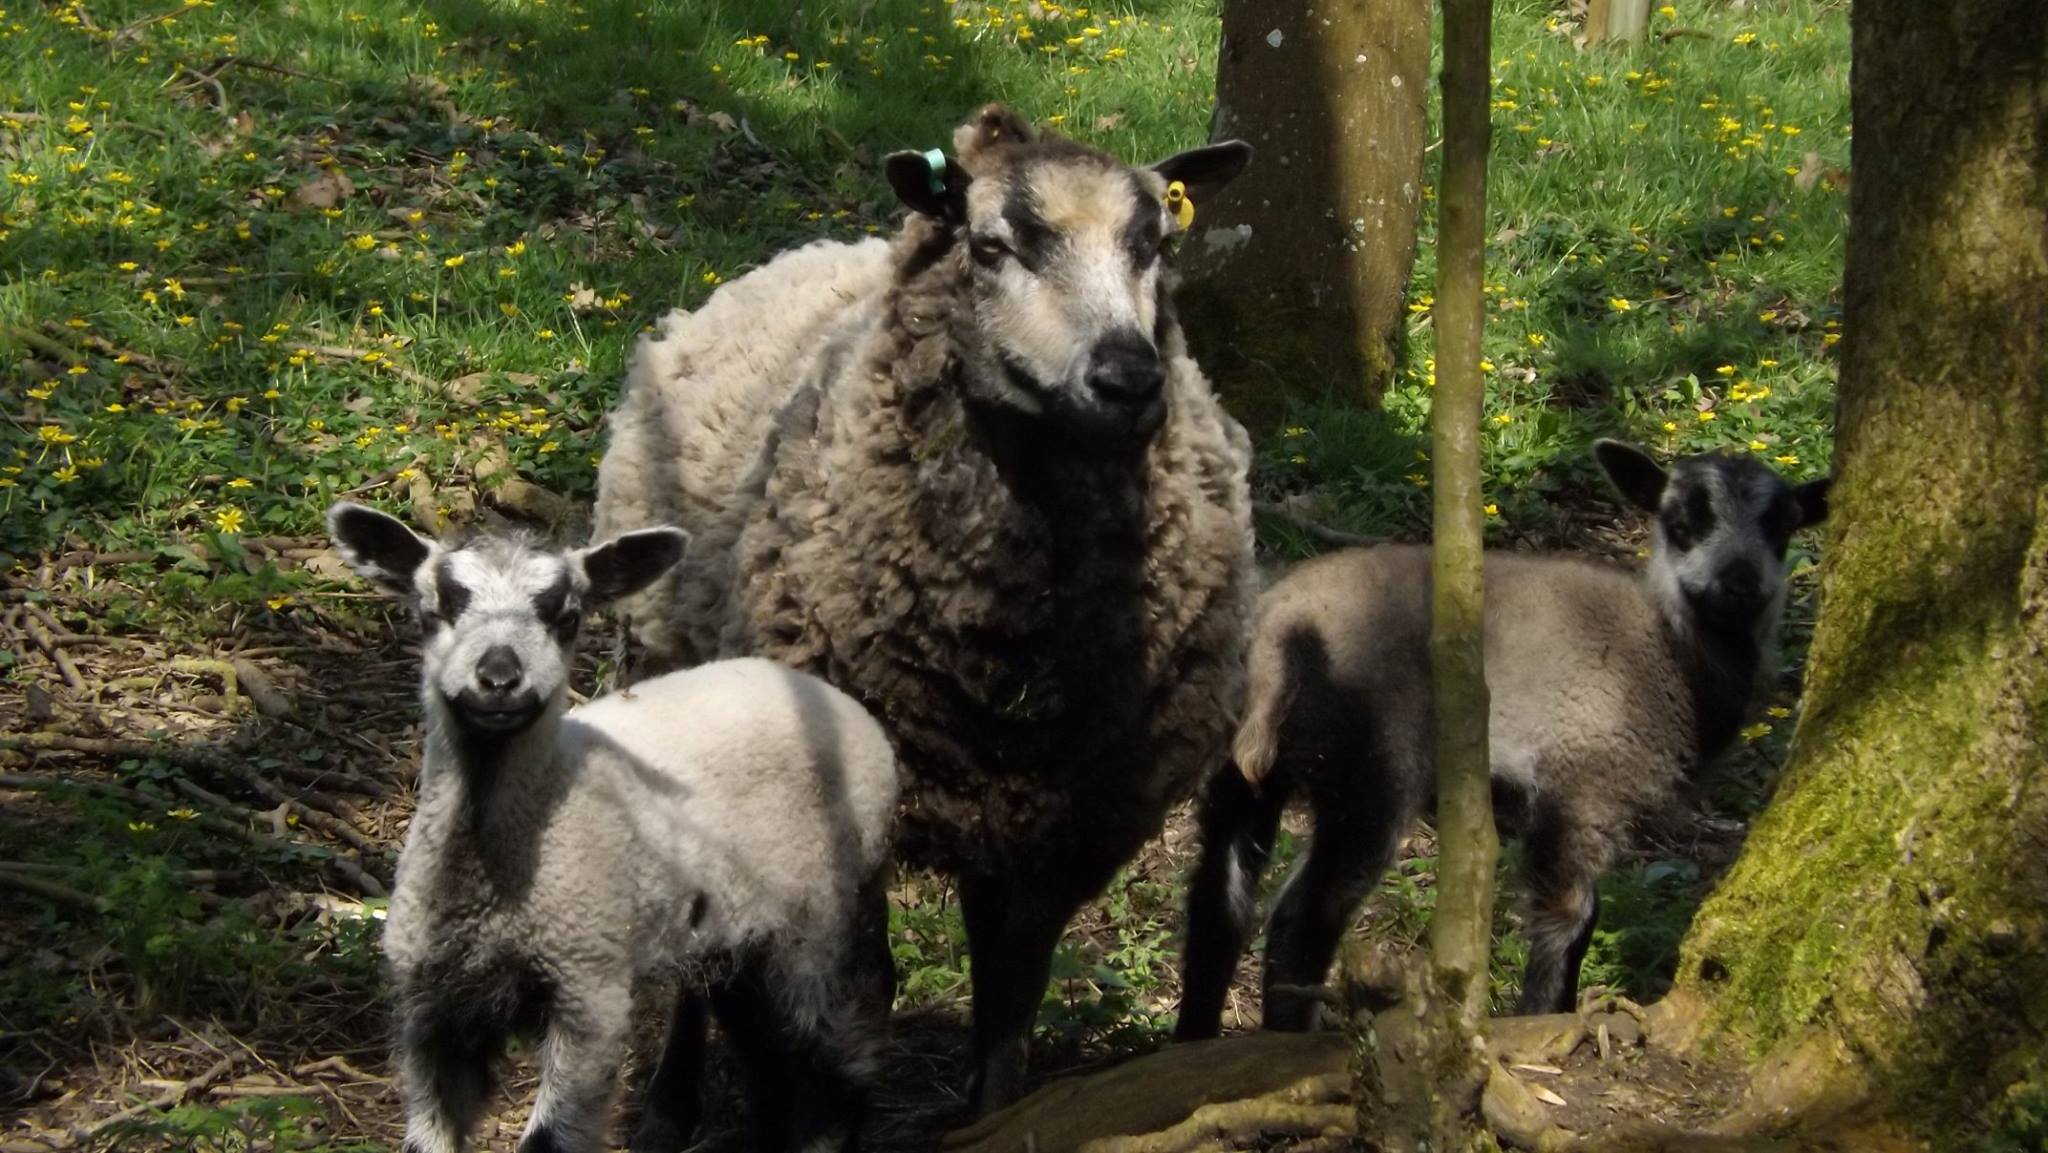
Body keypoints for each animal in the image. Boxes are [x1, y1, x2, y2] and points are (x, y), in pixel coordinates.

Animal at [325, 503, 897, 1153]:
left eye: (567, 617)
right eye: (432, 612)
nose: (499, 678)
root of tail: (825, 694)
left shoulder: (587, 991)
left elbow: (550, 1139)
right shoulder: (430, 1008)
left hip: (819, 916)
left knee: (838, 1056)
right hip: (738, 935)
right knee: (770, 1055)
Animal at [593, 105, 1253, 1105]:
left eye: (1155, 245)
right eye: (991, 246)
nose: (1128, 380)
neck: (1011, 632)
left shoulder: (1065, 826)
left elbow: (1011, 996)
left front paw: (992, 1112)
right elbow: (866, 989)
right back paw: (673, 1091)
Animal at [1179, 442, 1835, 1036]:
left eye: (1782, 529)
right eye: (1681, 525)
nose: (1740, 584)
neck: (1671, 655)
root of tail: (1278, 629)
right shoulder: (1583, 783)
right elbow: (1571, 915)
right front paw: (1543, 1014)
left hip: (1239, 773)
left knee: (1218, 901)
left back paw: (1195, 1040)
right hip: (1369, 764)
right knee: (1304, 915)